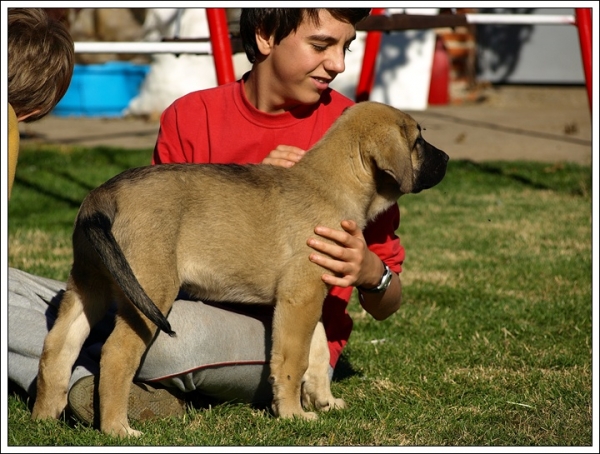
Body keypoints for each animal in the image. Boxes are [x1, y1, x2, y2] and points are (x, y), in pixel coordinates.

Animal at [30, 100, 448, 436]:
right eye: (418, 141)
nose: (446, 160)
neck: (329, 184)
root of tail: (102, 194)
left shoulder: (307, 296)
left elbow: (316, 349)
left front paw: (323, 401)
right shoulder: (300, 297)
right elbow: (293, 359)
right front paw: (293, 414)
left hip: (89, 285)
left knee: (57, 347)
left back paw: (44, 418)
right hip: (149, 292)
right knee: (115, 354)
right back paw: (118, 428)